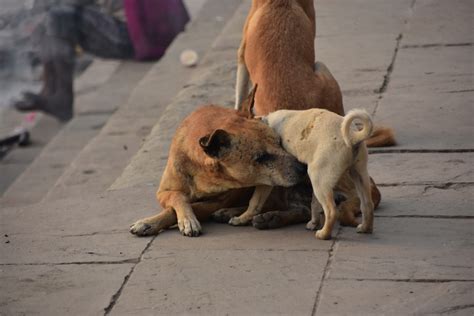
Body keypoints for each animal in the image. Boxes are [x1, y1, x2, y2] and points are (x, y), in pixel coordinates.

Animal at [231, 108, 376, 239]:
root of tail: (353, 137)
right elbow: (314, 204)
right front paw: (314, 223)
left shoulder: (270, 178)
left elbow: (254, 201)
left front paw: (241, 218)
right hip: (357, 175)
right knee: (367, 204)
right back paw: (365, 228)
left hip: (318, 179)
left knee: (331, 211)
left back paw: (324, 234)